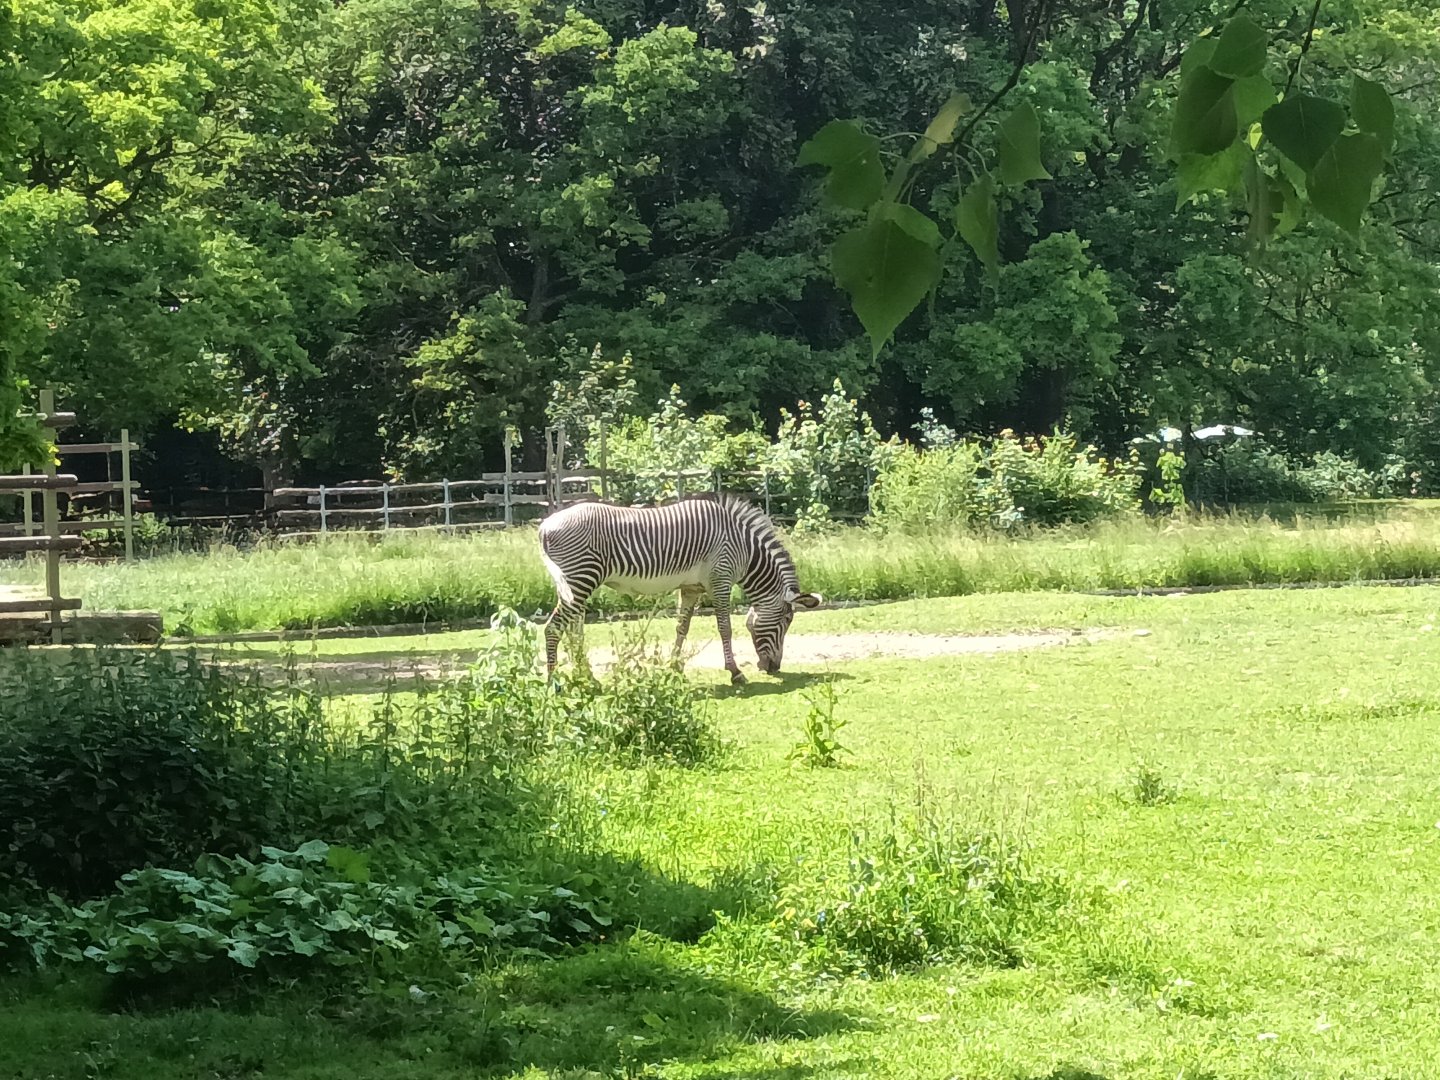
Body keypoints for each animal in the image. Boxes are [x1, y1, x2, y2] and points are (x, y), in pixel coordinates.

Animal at [538, 494, 821, 684]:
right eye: (787, 620)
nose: (773, 668)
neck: (744, 548)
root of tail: (544, 526)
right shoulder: (720, 580)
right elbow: (725, 628)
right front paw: (735, 672)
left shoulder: (691, 587)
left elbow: (682, 627)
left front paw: (674, 667)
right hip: (581, 577)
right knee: (554, 628)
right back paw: (555, 682)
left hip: (575, 584)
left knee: (574, 629)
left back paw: (586, 677)